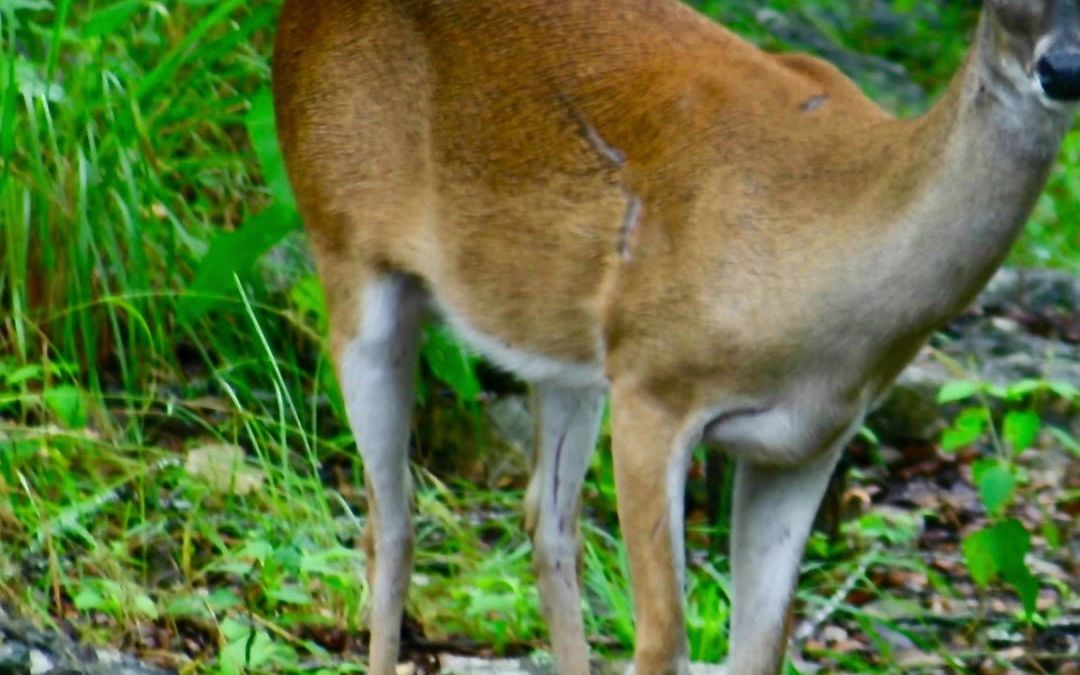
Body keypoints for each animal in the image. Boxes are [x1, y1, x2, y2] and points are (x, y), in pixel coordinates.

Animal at [272, 1, 1080, 673]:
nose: (1064, 68)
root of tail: (292, 20)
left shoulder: (810, 442)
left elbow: (760, 647)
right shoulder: (654, 385)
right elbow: (664, 643)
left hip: (564, 353)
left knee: (546, 524)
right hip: (344, 248)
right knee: (392, 526)